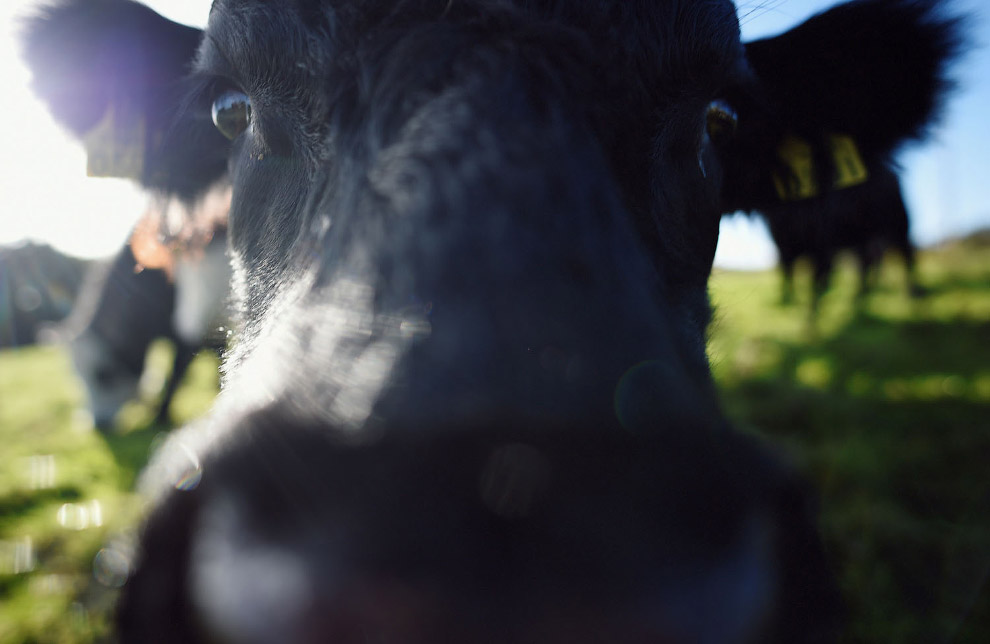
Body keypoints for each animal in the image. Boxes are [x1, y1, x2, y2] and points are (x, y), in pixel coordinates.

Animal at [61, 221, 230, 429]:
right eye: (76, 376)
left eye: (105, 375)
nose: (98, 424)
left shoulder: (191, 327)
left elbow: (177, 370)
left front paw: (161, 415)